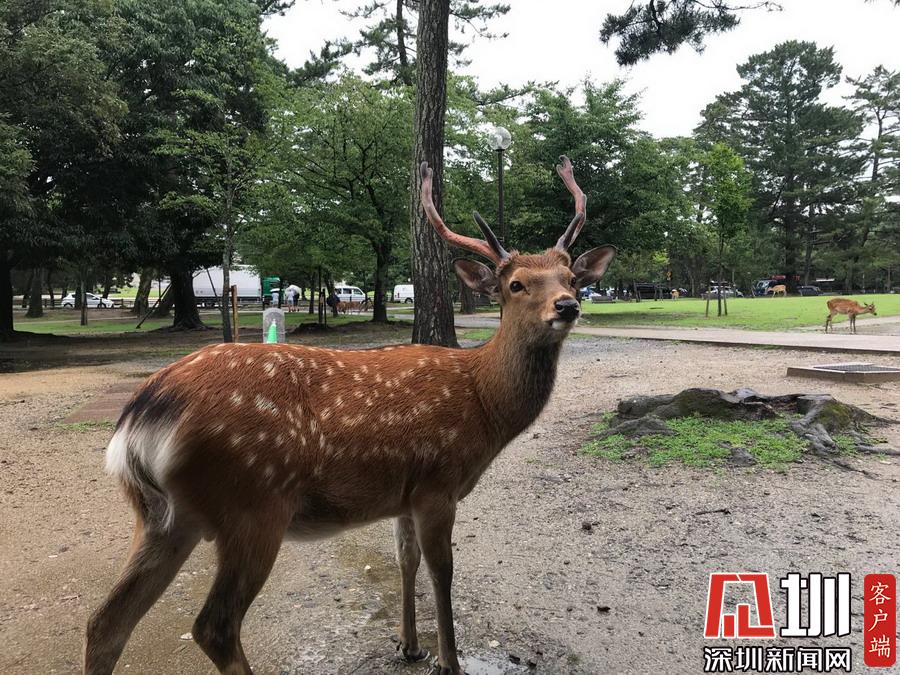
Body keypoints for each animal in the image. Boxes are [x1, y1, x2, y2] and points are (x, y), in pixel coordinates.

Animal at [83, 156, 616, 675]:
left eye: (572, 279)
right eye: (516, 284)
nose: (567, 305)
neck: (483, 405)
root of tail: (140, 418)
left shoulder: (404, 494)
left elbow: (406, 560)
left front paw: (409, 646)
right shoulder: (438, 483)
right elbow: (442, 572)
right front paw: (449, 661)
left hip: (162, 515)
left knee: (105, 621)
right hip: (253, 503)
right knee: (214, 626)